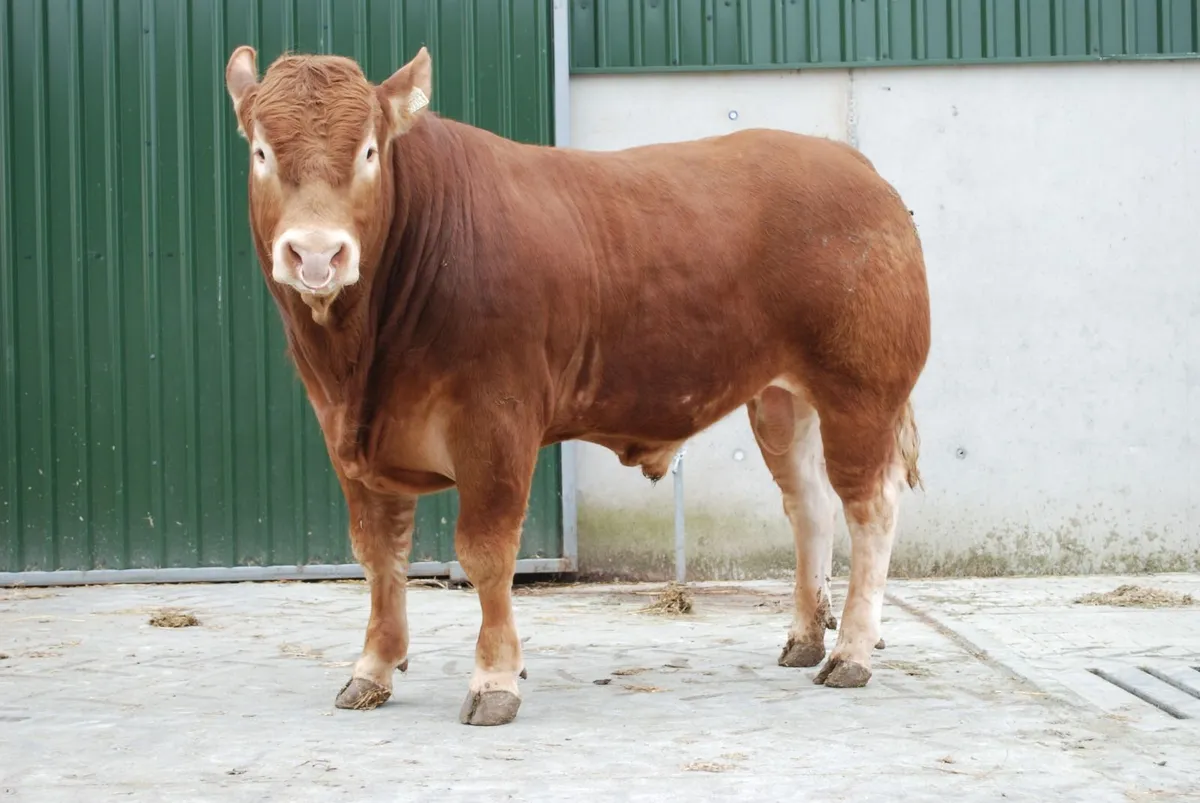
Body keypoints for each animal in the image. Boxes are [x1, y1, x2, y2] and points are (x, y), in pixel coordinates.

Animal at [223, 45, 931, 727]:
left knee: (870, 507)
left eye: (369, 152)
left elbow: (485, 554)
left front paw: (495, 681)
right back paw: (806, 638)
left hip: (861, 391)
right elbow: (378, 556)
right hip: (782, 398)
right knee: (808, 504)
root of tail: (848, 161)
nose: (318, 254)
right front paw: (372, 670)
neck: (361, 366)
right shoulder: (350, 438)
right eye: (261, 152)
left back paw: (851, 653)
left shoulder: (497, 419)